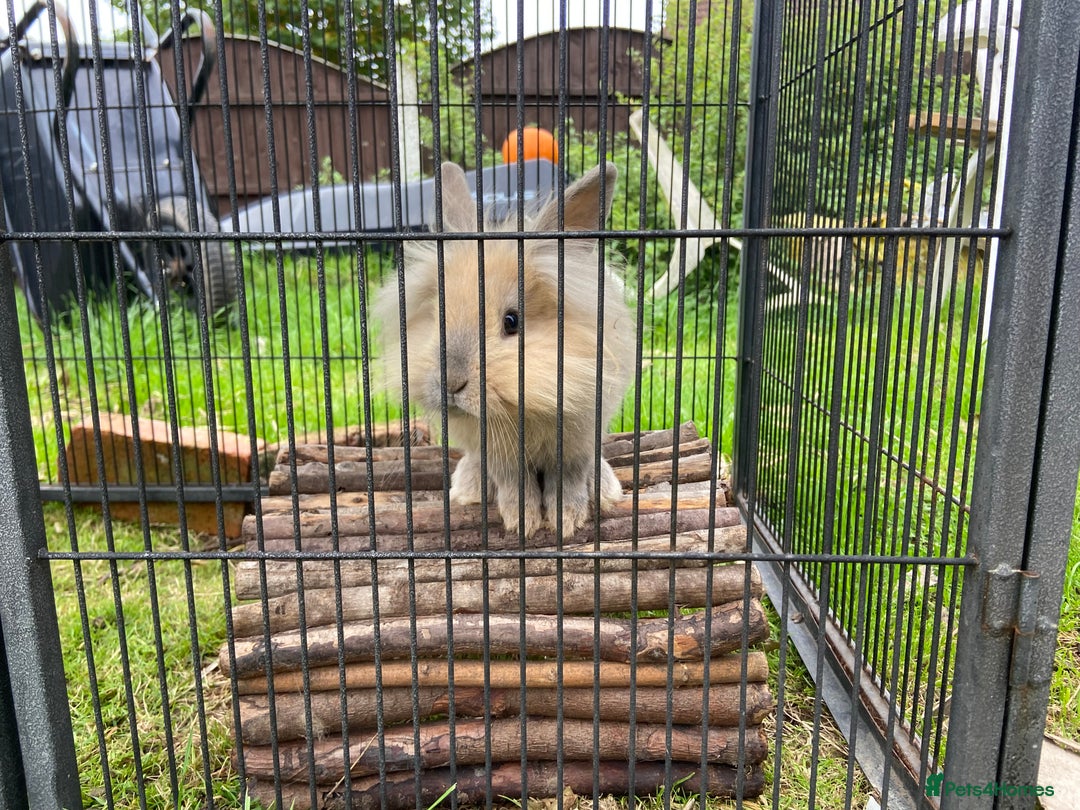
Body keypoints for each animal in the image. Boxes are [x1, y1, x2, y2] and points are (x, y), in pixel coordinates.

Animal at [375, 161, 636, 538]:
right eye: (437, 313)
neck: (523, 411)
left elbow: (569, 478)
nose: (450, 384)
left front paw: (566, 521)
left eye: (512, 321)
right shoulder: (497, 454)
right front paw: (521, 521)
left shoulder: (579, 440)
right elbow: (514, 482)